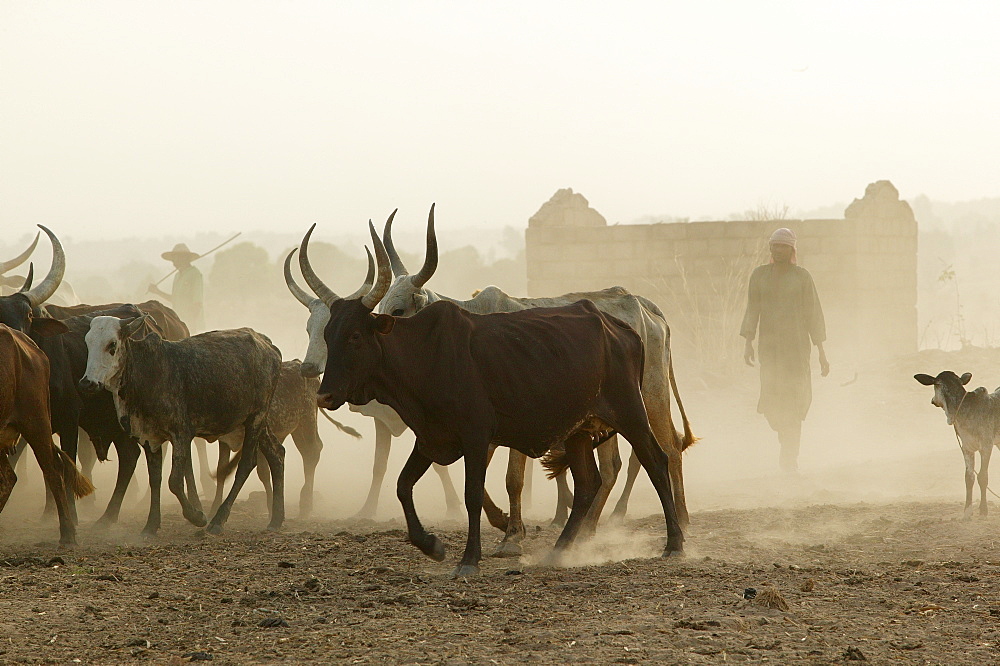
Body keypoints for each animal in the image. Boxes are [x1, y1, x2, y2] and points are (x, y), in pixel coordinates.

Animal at [304, 220, 684, 572]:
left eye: (395, 312)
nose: (324, 392)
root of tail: (640, 314)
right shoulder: (437, 437)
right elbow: (412, 484)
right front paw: (461, 537)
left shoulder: (489, 432)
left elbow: (497, 485)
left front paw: (502, 540)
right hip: (583, 427)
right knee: (600, 474)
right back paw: (574, 541)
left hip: (643, 404)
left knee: (663, 454)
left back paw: (677, 534)